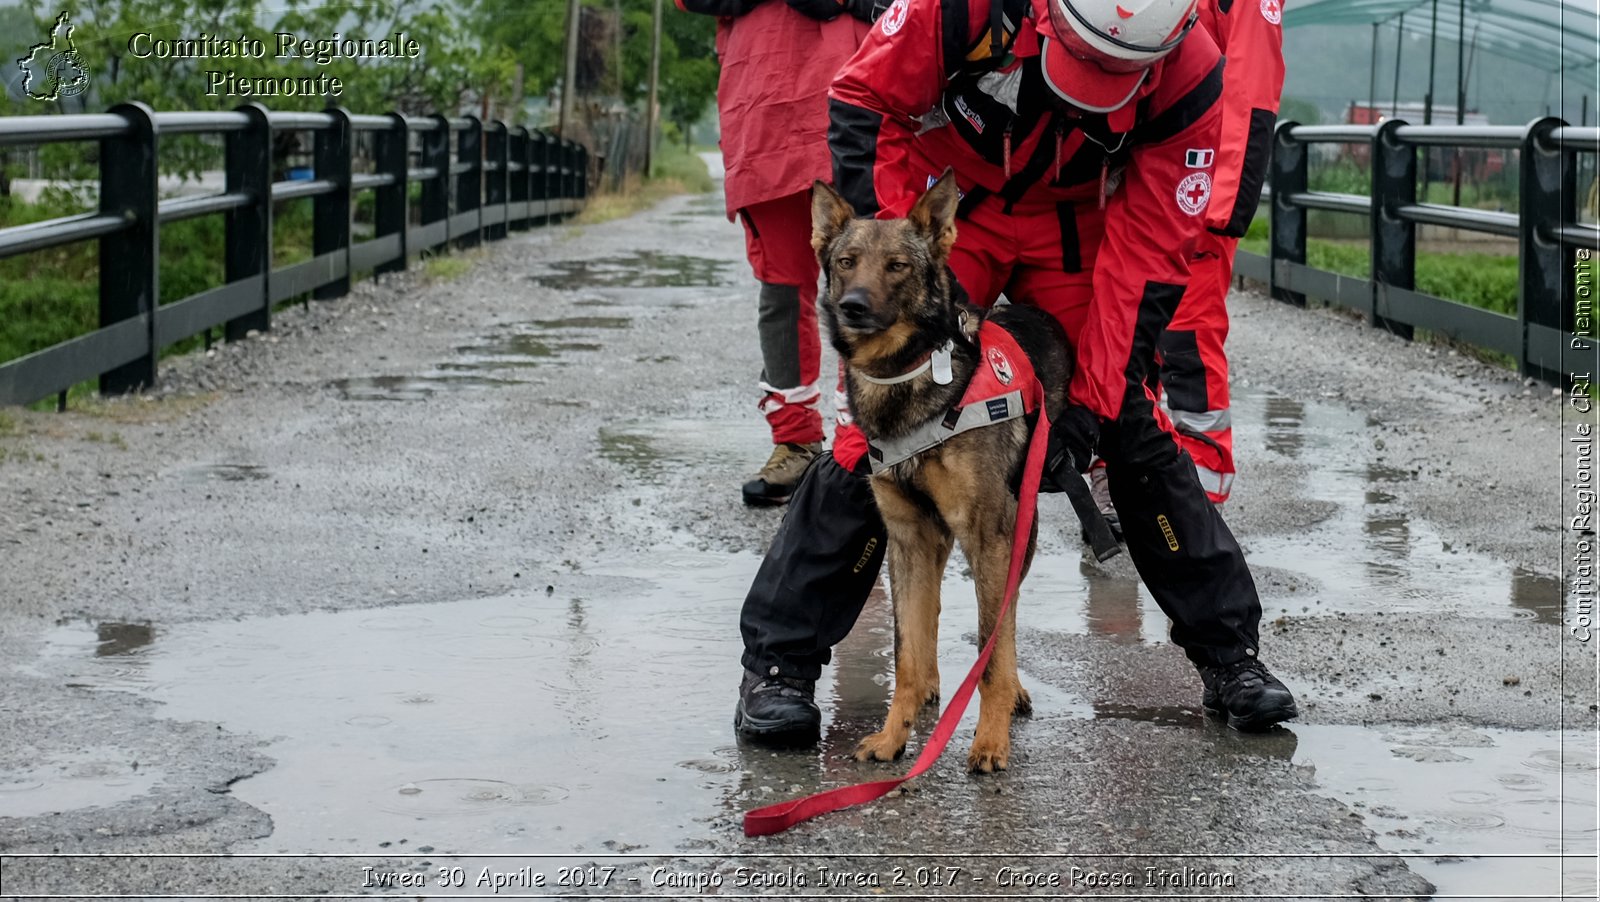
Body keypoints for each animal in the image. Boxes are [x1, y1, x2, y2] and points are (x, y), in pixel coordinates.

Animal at [819, 172, 1068, 770]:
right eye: (846, 262)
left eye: (897, 266)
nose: (853, 307)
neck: (906, 375)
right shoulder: (907, 537)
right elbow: (907, 653)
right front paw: (894, 737)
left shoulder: (988, 535)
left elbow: (992, 650)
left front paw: (990, 741)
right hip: (940, 540)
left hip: (1012, 536)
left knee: (1004, 618)